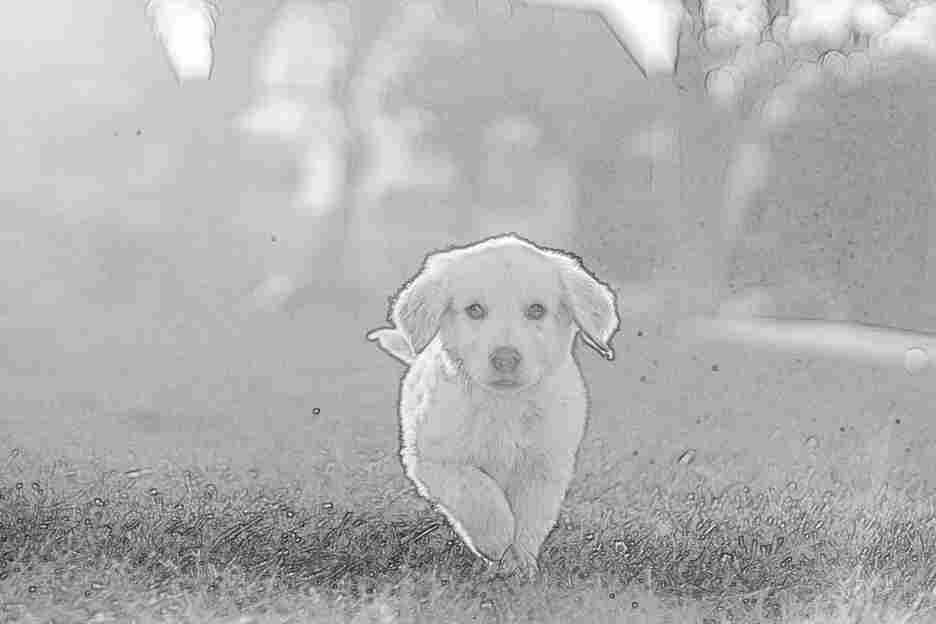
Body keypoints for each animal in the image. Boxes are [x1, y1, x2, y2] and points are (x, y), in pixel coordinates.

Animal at [368, 234, 620, 580]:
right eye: (474, 310)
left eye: (536, 310)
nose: (505, 358)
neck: (504, 405)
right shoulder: (433, 460)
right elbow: (478, 493)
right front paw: (498, 541)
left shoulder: (545, 465)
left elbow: (530, 516)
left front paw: (521, 562)